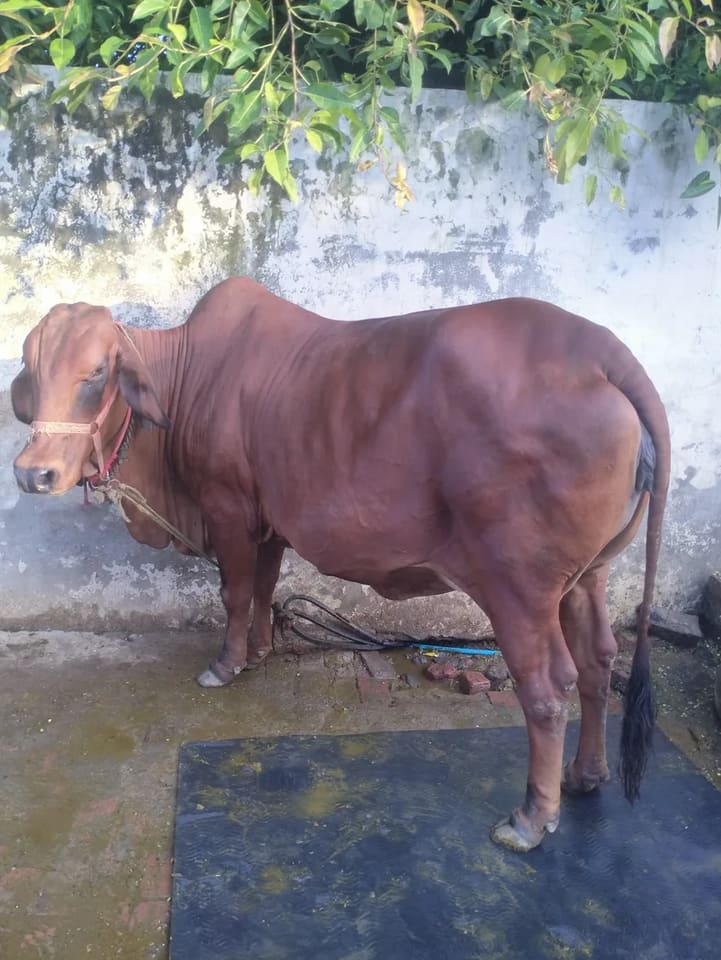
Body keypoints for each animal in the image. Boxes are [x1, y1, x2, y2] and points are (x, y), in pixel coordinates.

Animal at [11, 277, 670, 852]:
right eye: (33, 370)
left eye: (97, 372)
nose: (32, 473)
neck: (185, 375)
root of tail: (602, 352)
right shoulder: (269, 522)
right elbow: (262, 587)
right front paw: (259, 651)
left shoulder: (226, 506)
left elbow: (233, 591)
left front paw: (225, 665)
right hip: (589, 576)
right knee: (598, 661)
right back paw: (586, 775)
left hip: (519, 588)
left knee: (549, 685)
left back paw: (532, 817)